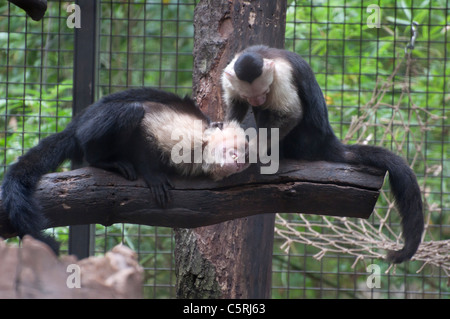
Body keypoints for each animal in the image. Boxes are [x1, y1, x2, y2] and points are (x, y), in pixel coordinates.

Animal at [0, 87, 250, 252]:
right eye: (236, 150)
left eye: (243, 157)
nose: (240, 162)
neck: (202, 150)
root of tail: (78, 123)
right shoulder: (187, 136)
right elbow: (143, 133)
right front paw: (153, 175)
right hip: (90, 128)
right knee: (131, 112)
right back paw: (103, 160)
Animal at [223, 45, 424, 264]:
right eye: (250, 95)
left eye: (265, 91)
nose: (258, 99)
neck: (260, 53)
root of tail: (327, 140)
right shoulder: (230, 76)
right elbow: (236, 104)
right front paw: (227, 132)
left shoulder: (281, 77)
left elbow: (290, 114)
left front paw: (252, 150)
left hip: (304, 142)